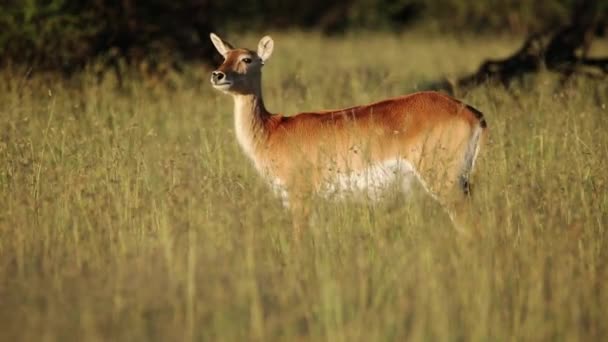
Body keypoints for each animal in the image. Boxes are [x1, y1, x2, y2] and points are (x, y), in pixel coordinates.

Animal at [211, 33, 486, 231]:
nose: (217, 74)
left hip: (445, 183)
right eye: (224, 56)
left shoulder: (300, 198)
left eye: (247, 59)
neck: (272, 130)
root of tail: (474, 114)